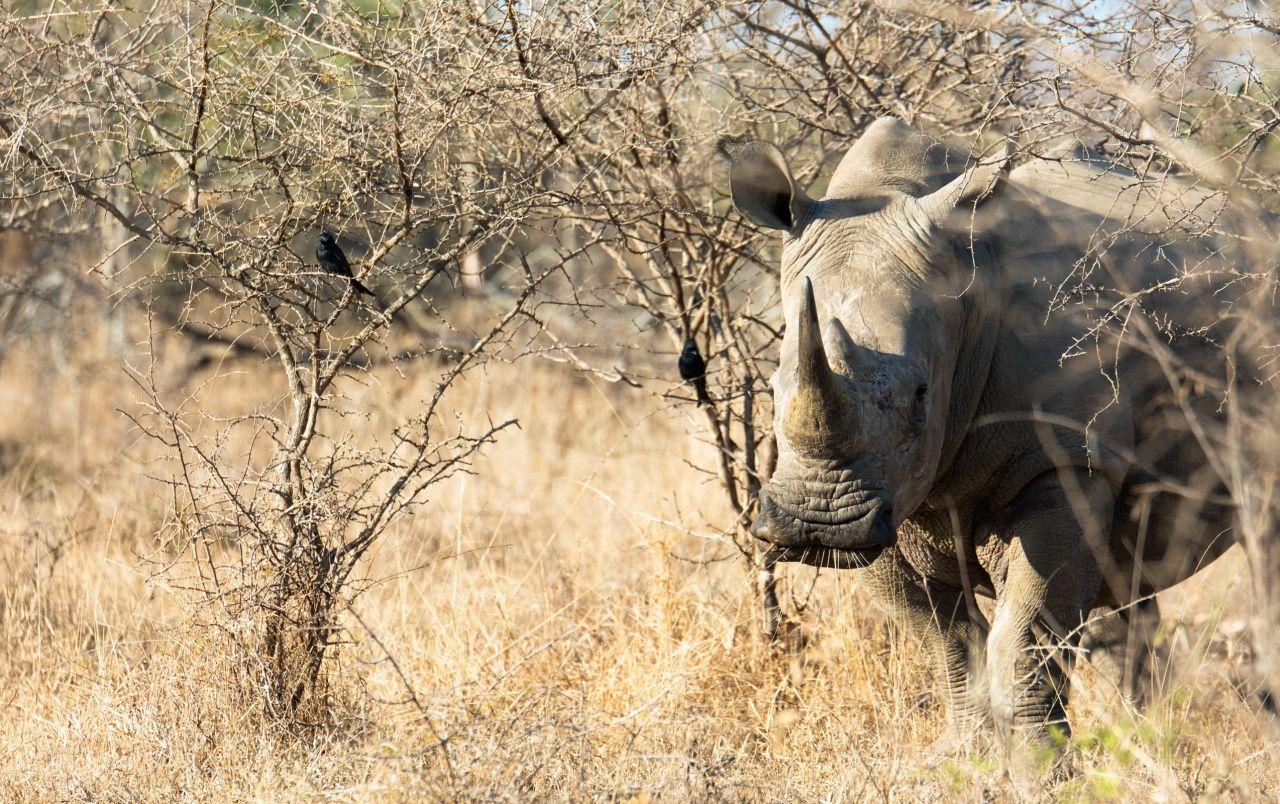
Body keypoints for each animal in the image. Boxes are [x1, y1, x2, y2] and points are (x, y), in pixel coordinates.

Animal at [728, 118, 1260, 746]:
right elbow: (947, 644)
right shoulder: (883, 502)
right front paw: (969, 756)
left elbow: (1024, 642)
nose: (817, 522)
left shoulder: (1066, 460)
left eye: (920, 395)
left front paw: (1041, 764)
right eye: (771, 386)